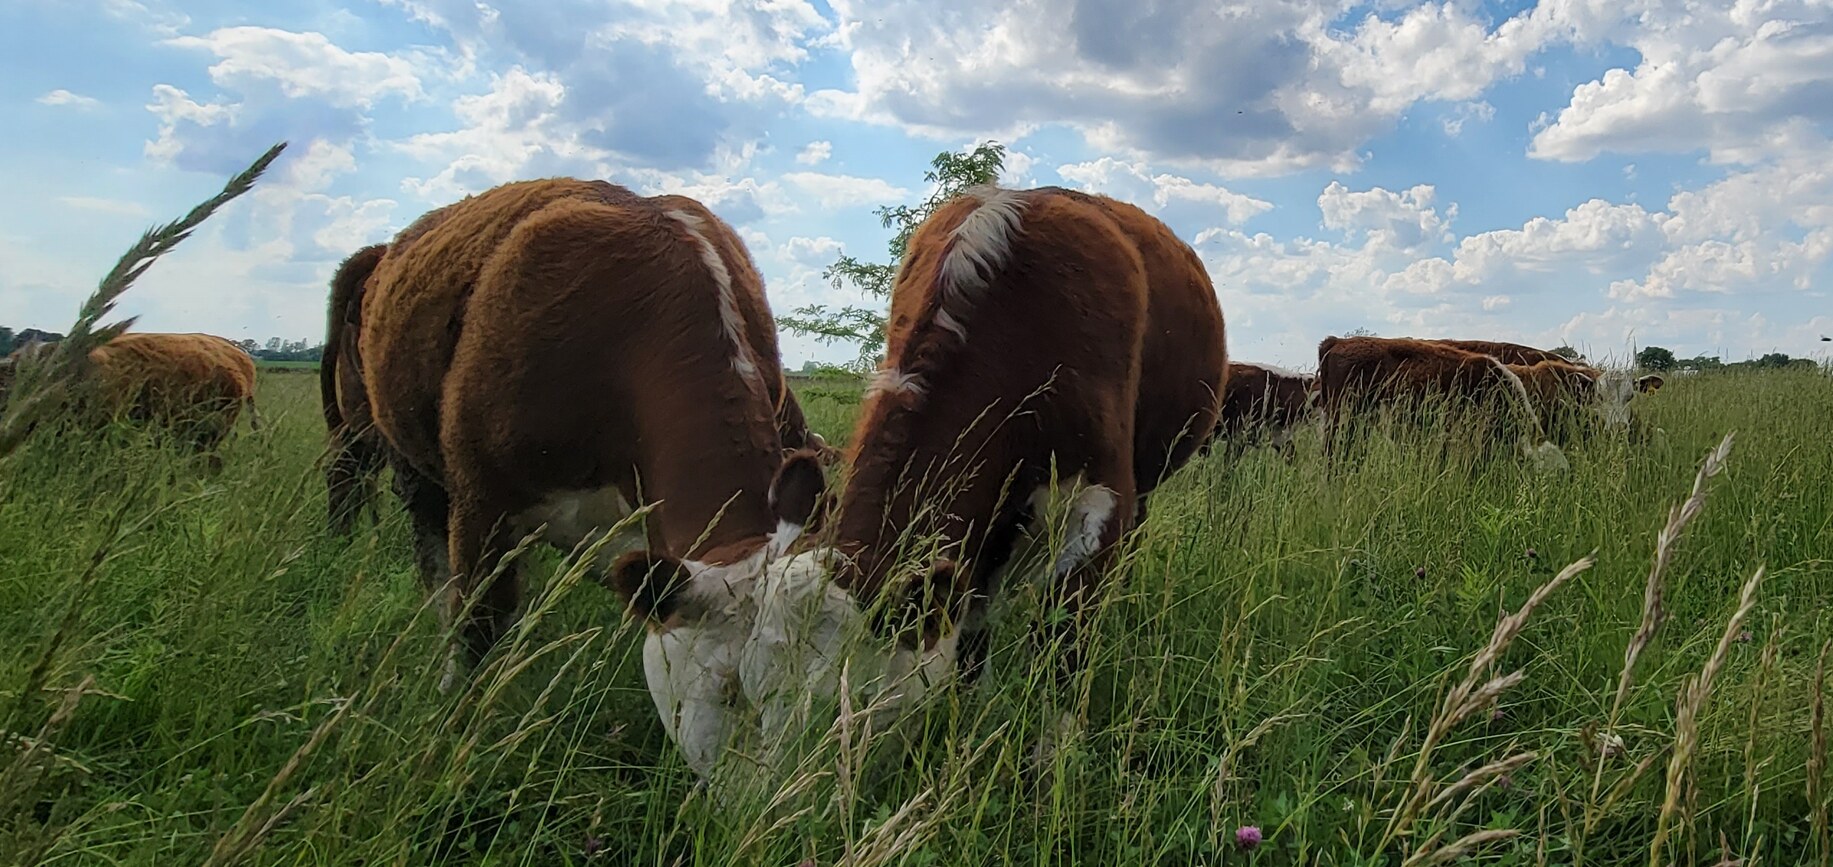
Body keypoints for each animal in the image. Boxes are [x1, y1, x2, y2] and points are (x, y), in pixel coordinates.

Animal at [329, 178, 829, 779]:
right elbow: (477, 626)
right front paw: (455, 723)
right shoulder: (482, 503)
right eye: (729, 691)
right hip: (372, 434)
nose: (770, 798)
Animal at [621, 184, 1229, 770]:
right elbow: (969, 634)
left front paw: (1052, 757)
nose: (779, 798)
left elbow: (1065, 642)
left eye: (850, 705)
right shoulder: (979, 528)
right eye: (743, 690)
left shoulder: (1100, 506)